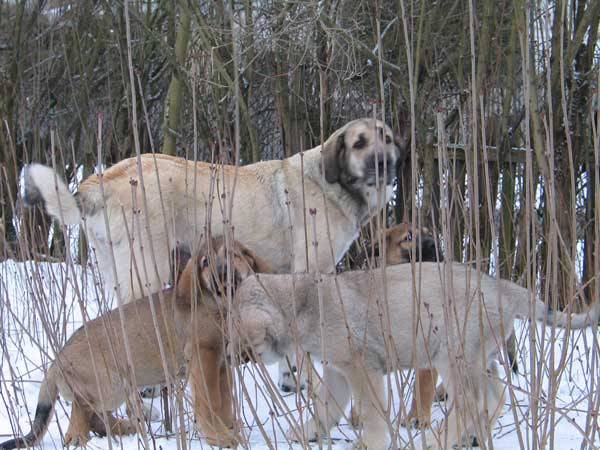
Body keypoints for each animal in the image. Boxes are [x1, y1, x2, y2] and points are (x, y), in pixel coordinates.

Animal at [0, 237, 272, 448]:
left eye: (233, 254)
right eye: (205, 262)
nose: (222, 273)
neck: (220, 306)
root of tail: (57, 360)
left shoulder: (221, 363)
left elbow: (224, 402)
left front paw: (228, 428)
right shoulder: (204, 357)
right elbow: (211, 403)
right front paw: (219, 437)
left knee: (95, 416)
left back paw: (124, 427)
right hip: (111, 384)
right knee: (81, 413)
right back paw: (83, 437)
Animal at [21, 118, 406, 302]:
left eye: (387, 138)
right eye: (359, 143)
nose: (386, 163)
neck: (334, 183)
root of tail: (104, 179)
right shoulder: (312, 269)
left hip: (116, 267)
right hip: (146, 269)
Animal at [219, 264, 600, 450]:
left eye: (236, 329)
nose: (225, 355)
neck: (300, 303)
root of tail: (502, 288)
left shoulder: (362, 368)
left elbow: (372, 412)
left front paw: (370, 443)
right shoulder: (338, 372)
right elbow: (326, 407)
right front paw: (307, 431)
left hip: (453, 356)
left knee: (470, 402)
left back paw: (437, 440)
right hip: (481, 359)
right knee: (496, 395)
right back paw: (473, 437)